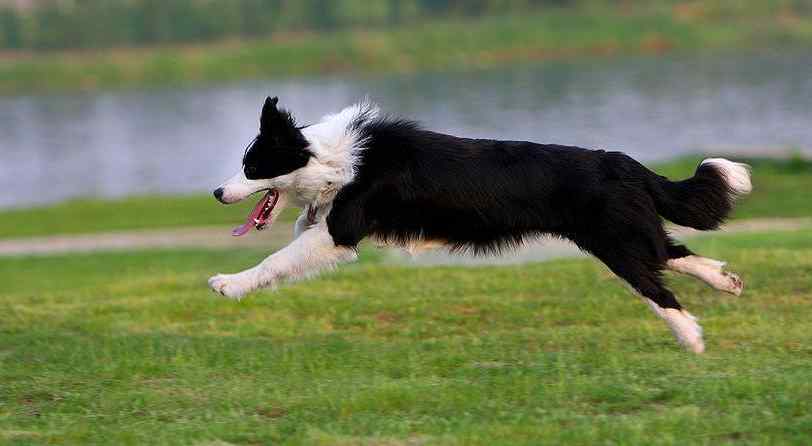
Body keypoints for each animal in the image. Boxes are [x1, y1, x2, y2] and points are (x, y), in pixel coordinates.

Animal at [211, 96, 756, 352]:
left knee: (658, 285)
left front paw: (228, 284)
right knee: (672, 253)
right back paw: (725, 281)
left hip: (615, 242)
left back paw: (692, 339)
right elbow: (294, 240)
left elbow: (276, 259)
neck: (328, 157)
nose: (216, 193)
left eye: (251, 166)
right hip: (626, 234)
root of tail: (622, 161)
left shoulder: (340, 232)